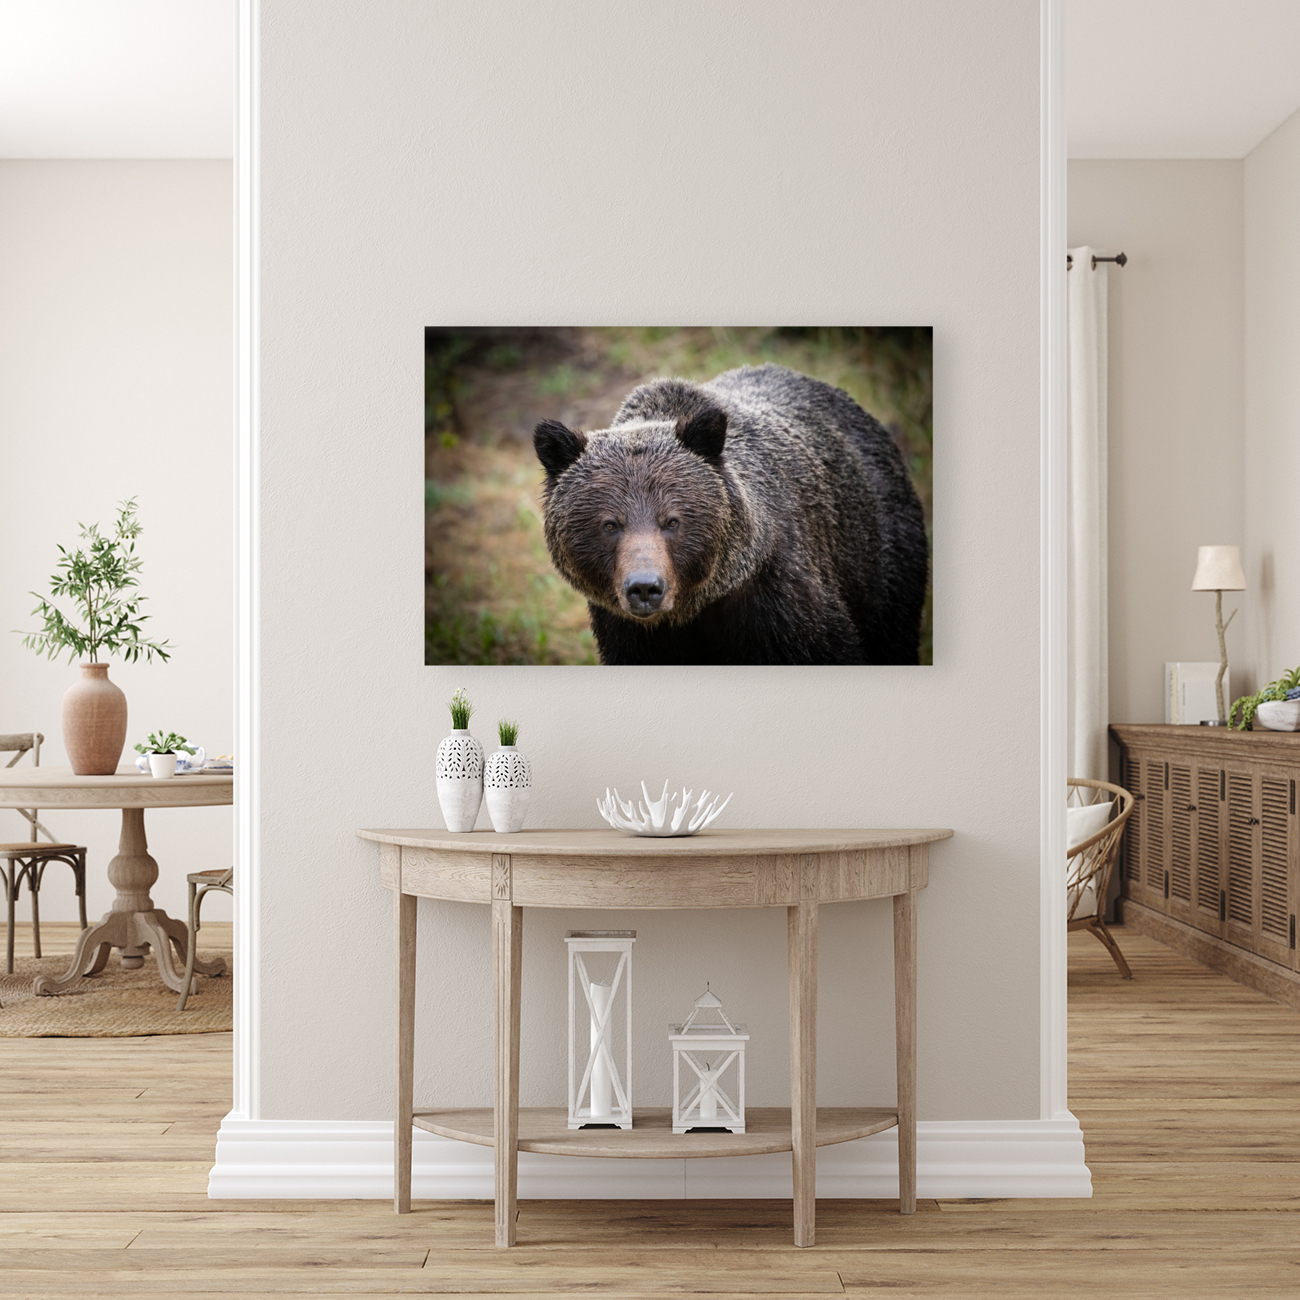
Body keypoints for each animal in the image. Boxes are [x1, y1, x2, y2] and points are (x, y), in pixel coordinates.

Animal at [532, 363, 928, 665]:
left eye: (672, 521)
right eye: (611, 524)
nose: (645, 588)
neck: (693, 608)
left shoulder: (777, 600)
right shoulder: (629, 631)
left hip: (879, 559)